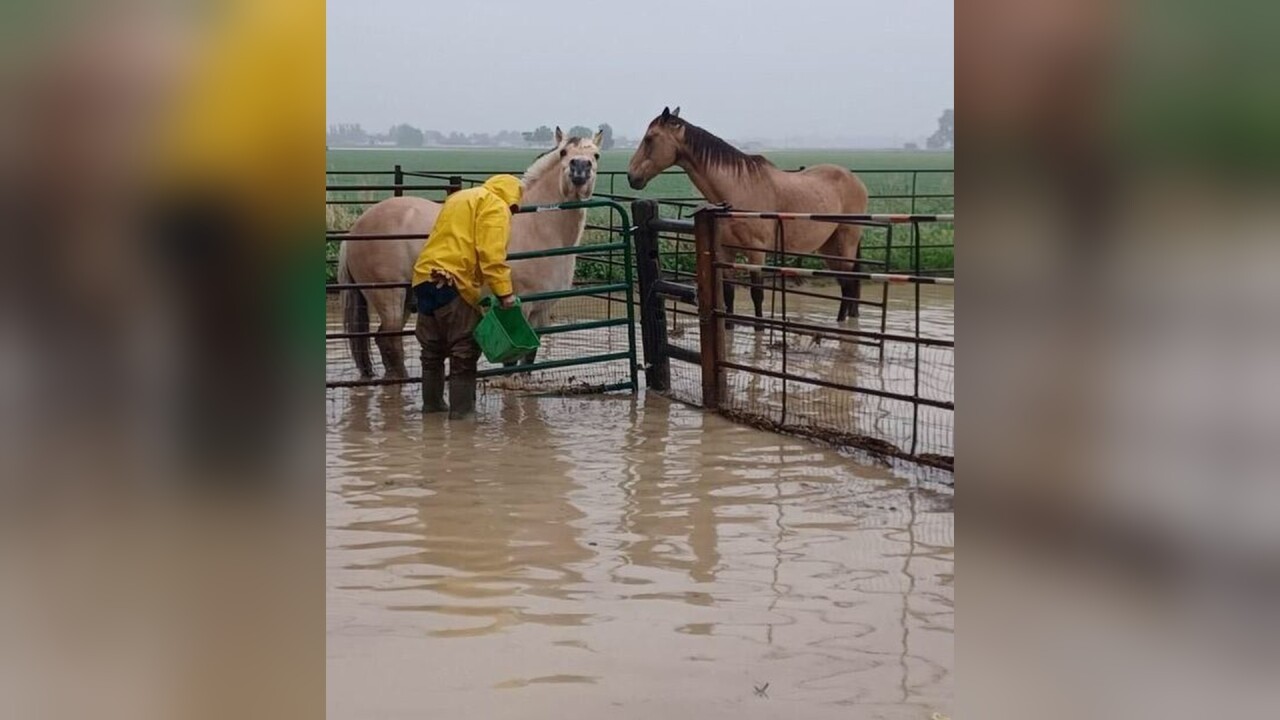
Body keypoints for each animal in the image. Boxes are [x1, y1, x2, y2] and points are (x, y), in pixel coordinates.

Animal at [337, 126, 601, 376]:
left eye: (596, 155)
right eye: (564, 153)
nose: (580, 168)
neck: (535, 225)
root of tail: (356, 228)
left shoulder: (542, 311)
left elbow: (528, 360)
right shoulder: (518, 308)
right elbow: (512, 364)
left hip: (404, 300)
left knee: (383, 341)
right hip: (389, 298)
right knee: (391, 342)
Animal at [622, 105, 870, 320]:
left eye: (649, 138)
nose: (631, 176)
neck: (738, 189)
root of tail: (856, 180)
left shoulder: (756, 253)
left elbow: (757, 294)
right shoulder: (726, 253)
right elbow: (729, 294)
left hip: (845, 244)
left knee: (848, 285)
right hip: (829, 247)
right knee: (845, 284)